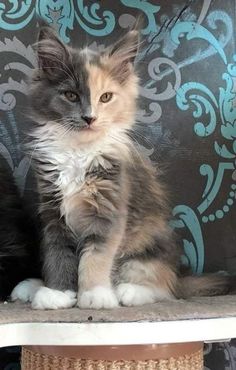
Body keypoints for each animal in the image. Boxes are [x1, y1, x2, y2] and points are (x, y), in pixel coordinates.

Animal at [12, 23, 231, 310]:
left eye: (106, 97)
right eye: (71, 95)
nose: (90, 118)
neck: (78, 151)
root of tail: (178, 275)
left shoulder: (110, 209)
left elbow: (96, 257)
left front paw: (94, 294)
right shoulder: (52, 212)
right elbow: (57, 255)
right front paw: (57, 292)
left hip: (149, 243)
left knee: (163, 287)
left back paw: (127, 291)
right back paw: (32, 286)